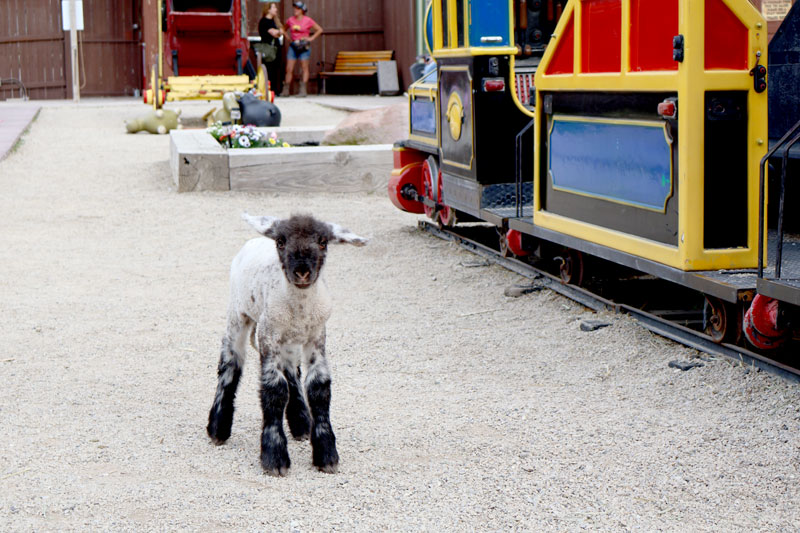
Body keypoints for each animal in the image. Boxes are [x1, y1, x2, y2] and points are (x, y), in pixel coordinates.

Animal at [206, 213, 367, 476]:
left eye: (323, 241)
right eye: (281, 242)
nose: (301, 272)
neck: (300, 308)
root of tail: (255, 240)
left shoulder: (317, 336)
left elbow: (319, 387)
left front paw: (326, 454)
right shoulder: (267, 336)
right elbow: (274, 389)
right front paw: (274, 457)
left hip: (288, 339)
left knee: (291, 370)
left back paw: (301, 423)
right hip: (238, 314)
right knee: (230, 363)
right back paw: (218, 428)